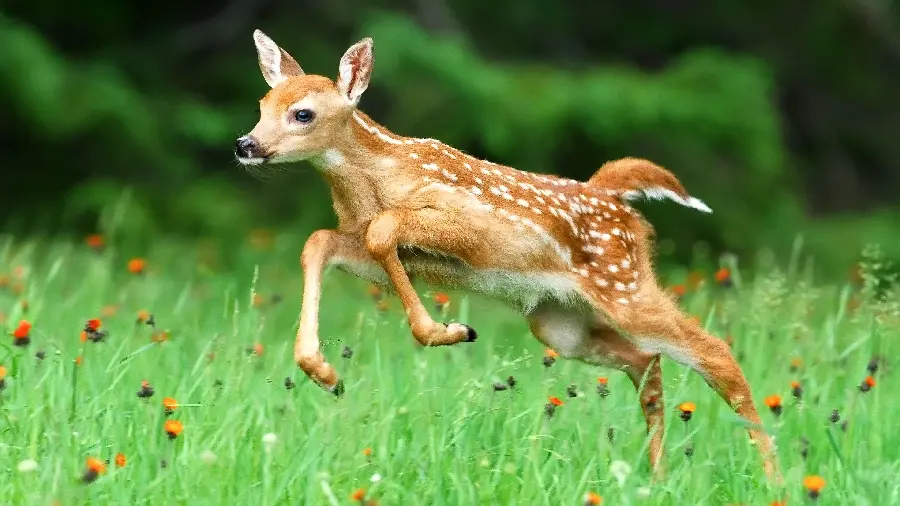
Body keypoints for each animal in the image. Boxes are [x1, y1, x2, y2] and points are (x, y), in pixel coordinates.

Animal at [237, 29, 780, 480]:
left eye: (303, 113)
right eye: (262, 103)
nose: (246, 144)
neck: (375, 181)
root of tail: (616, 199)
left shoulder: (466, 224)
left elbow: (384, 229)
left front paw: (446, 330)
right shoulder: (370, 243)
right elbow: (320, 241)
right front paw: (324, 373)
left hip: (623, 283)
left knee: (714, 352)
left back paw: (772, 476)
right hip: (560, 322)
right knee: (646, 361)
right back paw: (658, 476)